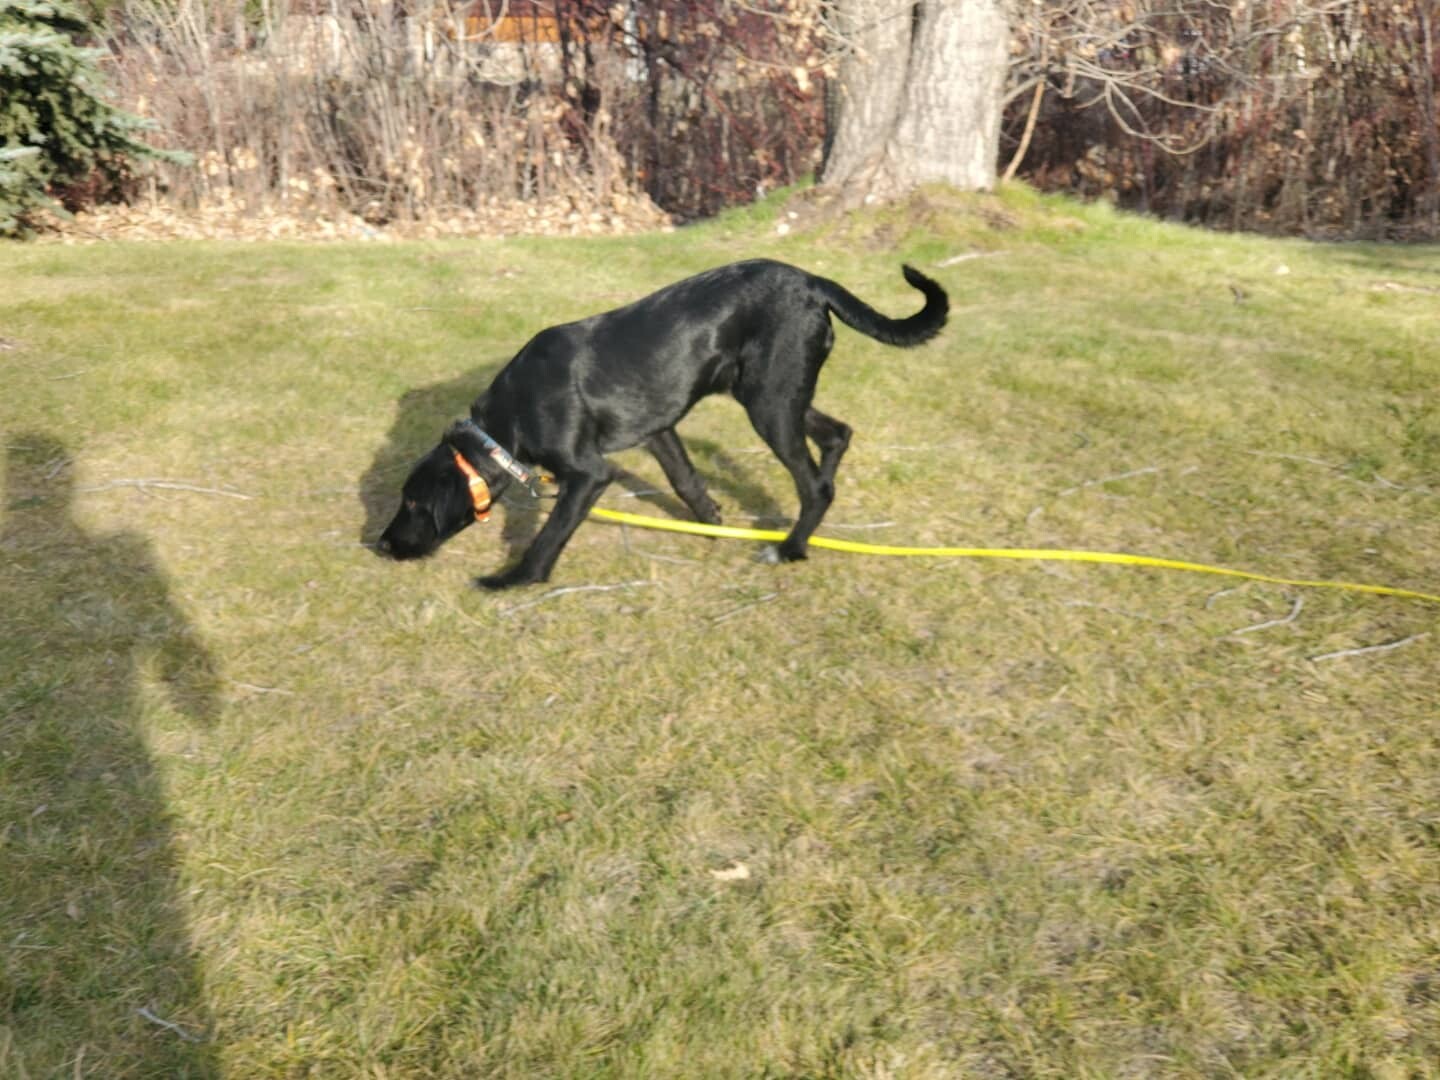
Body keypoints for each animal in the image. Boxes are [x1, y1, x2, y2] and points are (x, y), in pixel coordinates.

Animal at [377, 257, 950, 587]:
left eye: (413, 504)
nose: (381, 545)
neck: (506, 420)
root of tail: (813, 282)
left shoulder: (589, 474)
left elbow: (550, 534)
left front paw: (514, 580)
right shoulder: (659, 431)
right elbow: (687, 482)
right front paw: (712, 525)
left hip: (770, 403)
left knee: (814, 485)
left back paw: (789, 550)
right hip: (773, 392)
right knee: (837, 436)